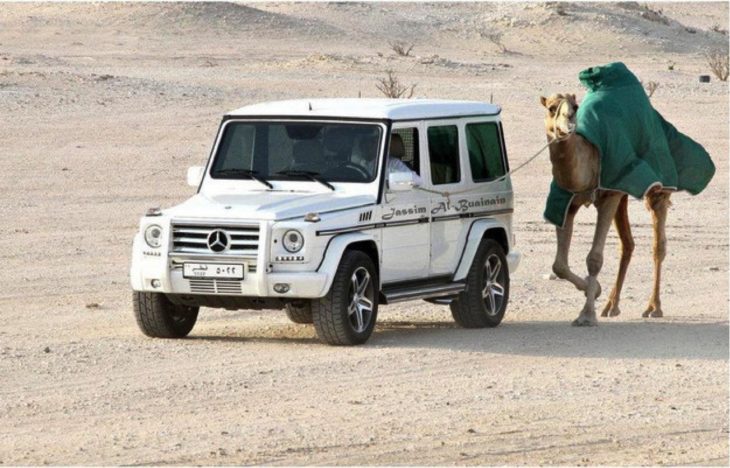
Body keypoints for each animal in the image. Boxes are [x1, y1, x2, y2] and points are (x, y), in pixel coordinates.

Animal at [536, 93, 668, 328]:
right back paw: (611, 306)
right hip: (622, 196)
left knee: (657, 242)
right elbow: (559, 265)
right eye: (551, 108)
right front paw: (595, 290)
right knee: (627, 244)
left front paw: (587, 314)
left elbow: (595, 258)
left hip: (654, 189)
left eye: (575, 107)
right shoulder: (568, 204)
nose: (569, 122)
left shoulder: (607, 198)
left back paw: (653, 307)